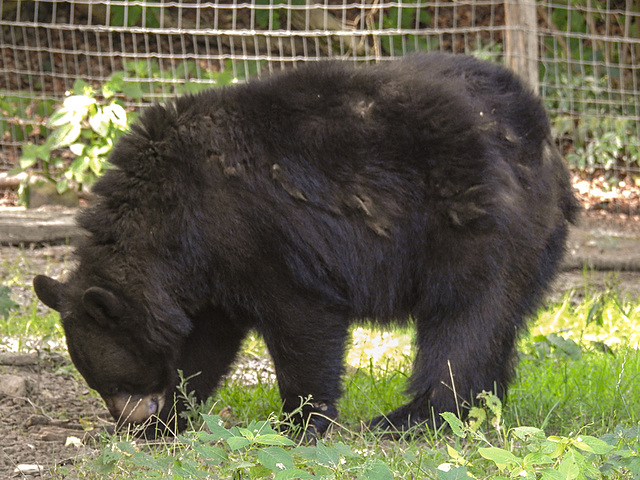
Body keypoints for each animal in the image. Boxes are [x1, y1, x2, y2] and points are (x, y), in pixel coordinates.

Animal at [32, 53, 580, 438]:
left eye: (116, 381)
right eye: (101, 384)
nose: (129, 418)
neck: (171, 219)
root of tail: (541, 132)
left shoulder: (260, 234)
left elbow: (303, 323)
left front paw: (298, 422)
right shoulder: (211, 272)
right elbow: (206, 342)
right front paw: (172, 419)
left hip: (476, 222)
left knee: (463, 321)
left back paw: (411, 419)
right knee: (496, 322)